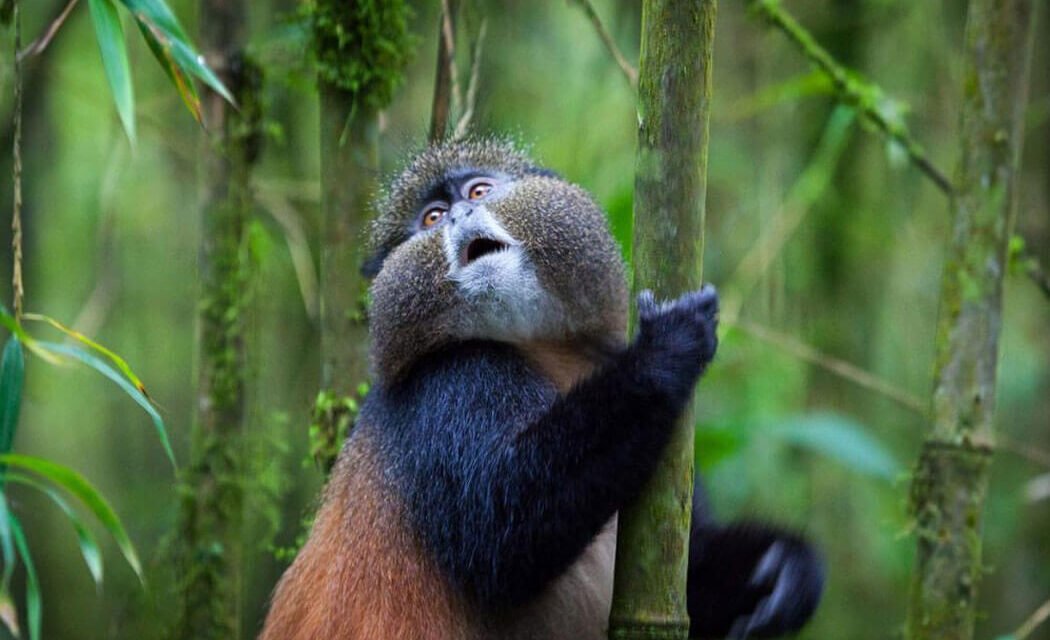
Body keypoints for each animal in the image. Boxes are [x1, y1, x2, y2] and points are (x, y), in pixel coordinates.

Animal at [260, 139, 823, 640]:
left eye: (480, 191)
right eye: (432, 219)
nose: (461, 215)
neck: (542, 349)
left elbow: (693, 581)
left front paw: (782, 567)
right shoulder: (449, 383)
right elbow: (501, 532)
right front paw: (664, 350)